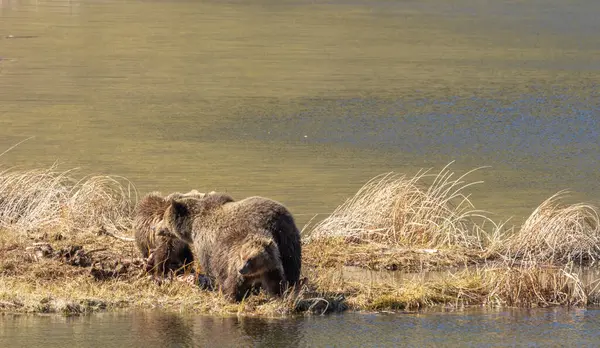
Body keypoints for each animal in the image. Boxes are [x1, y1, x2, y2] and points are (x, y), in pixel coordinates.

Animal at [155, 194, 302, 300]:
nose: (155, 228)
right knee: (291, 267)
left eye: (164, 218)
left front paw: (213, 286)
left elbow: (211, 266)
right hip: (289, 240)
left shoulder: (206, 243)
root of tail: (278, 220)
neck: (192, 227)